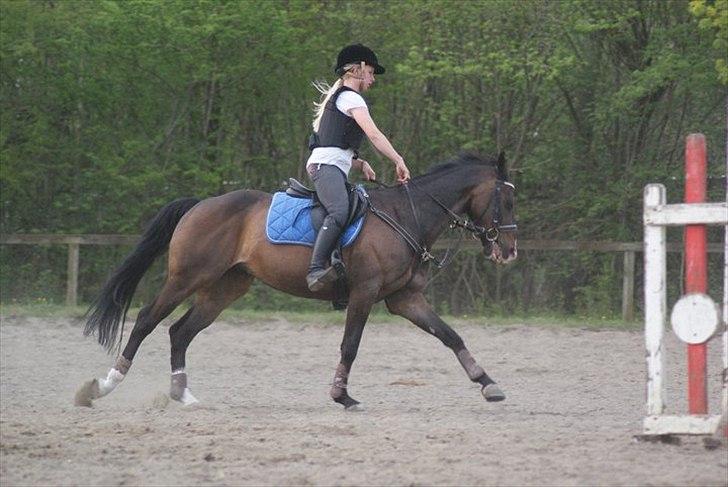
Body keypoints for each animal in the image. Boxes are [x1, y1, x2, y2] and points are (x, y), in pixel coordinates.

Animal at [75, 151, 518, 409]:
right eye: (507, 200)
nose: (509, 251)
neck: (405, 216)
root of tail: (200, 204)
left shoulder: (405, 299)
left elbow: (450, 335)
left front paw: (488, 383)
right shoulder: (364, 293)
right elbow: (350, 345)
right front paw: (341, 395)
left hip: (224, 287)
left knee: (180, 331)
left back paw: (183, 394)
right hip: (187, 277)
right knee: (148, 320)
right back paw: (104, 385)